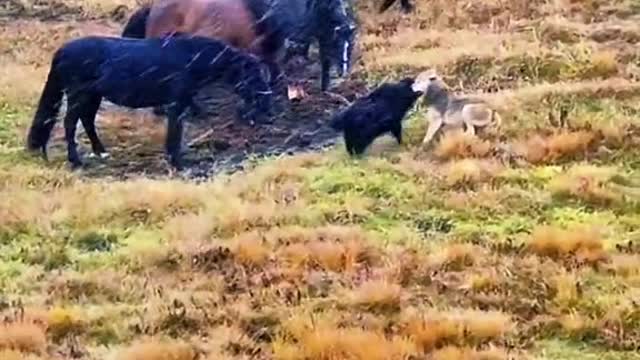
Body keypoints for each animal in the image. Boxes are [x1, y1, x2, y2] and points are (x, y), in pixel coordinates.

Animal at [25, 34, 272, 169]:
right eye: (255, 76)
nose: (268, 105)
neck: (193, 58)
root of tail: (62, 50)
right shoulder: (176, 104)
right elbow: (175, 132)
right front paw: (177, 162)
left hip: (93, 96)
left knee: (87, 121)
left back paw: (101, 152)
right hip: (79, 95)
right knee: (70, 123)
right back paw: (76, 161)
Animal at [122, 0, 358, 91]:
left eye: (351, 41)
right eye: (336, 37)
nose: (343, 70)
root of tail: (153, 10)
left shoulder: (270, 49)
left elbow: (274, 71)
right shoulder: (252, 51)